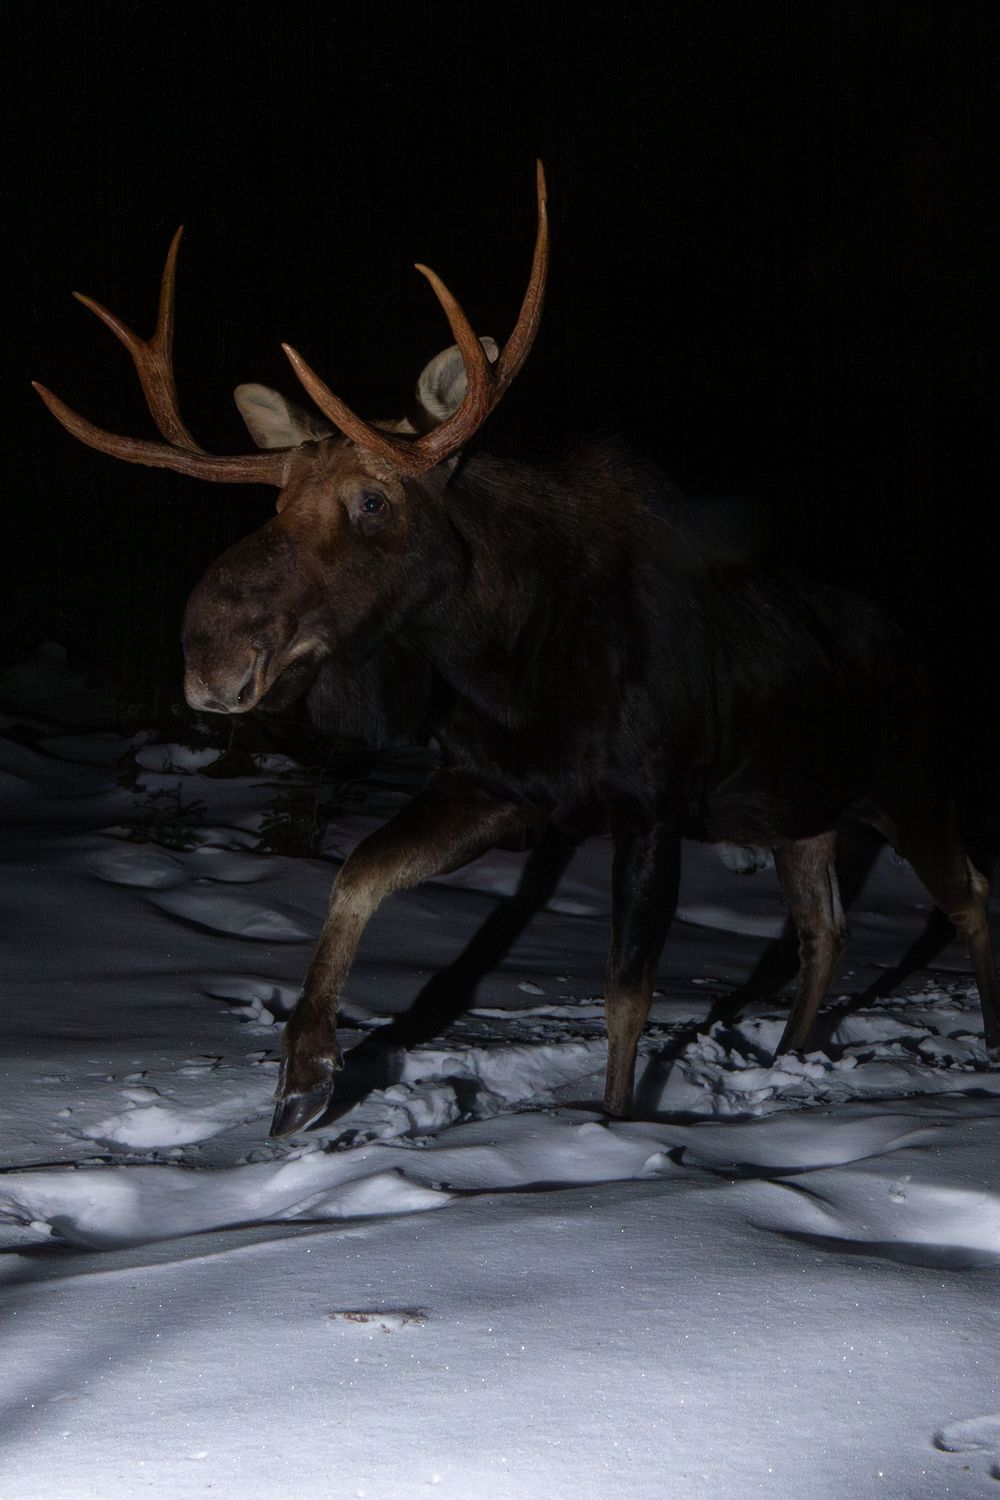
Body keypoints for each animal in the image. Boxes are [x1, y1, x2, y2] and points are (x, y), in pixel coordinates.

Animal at [34, 163, 1000, 1139]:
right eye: (275, 503)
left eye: (374, 501)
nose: (213, 656)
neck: (504, 663)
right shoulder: (496, 790)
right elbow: (357, 874)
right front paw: (304, 1077)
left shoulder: (649, 807)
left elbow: (626, 999)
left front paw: (613, 1123)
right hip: (796, 812)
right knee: (825, 929)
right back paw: (792, 1056)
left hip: (911, 786)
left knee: (969, 897)